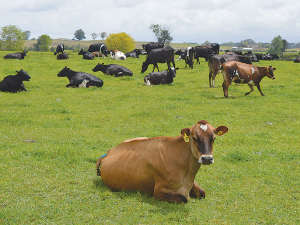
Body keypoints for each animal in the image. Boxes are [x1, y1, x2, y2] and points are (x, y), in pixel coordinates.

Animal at [95, 120, 227, 203]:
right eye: (194, 138)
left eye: (214, 138)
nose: (207, 158)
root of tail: (109, 151)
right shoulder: (158, 191)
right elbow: (183, 198)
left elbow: (202, 192)